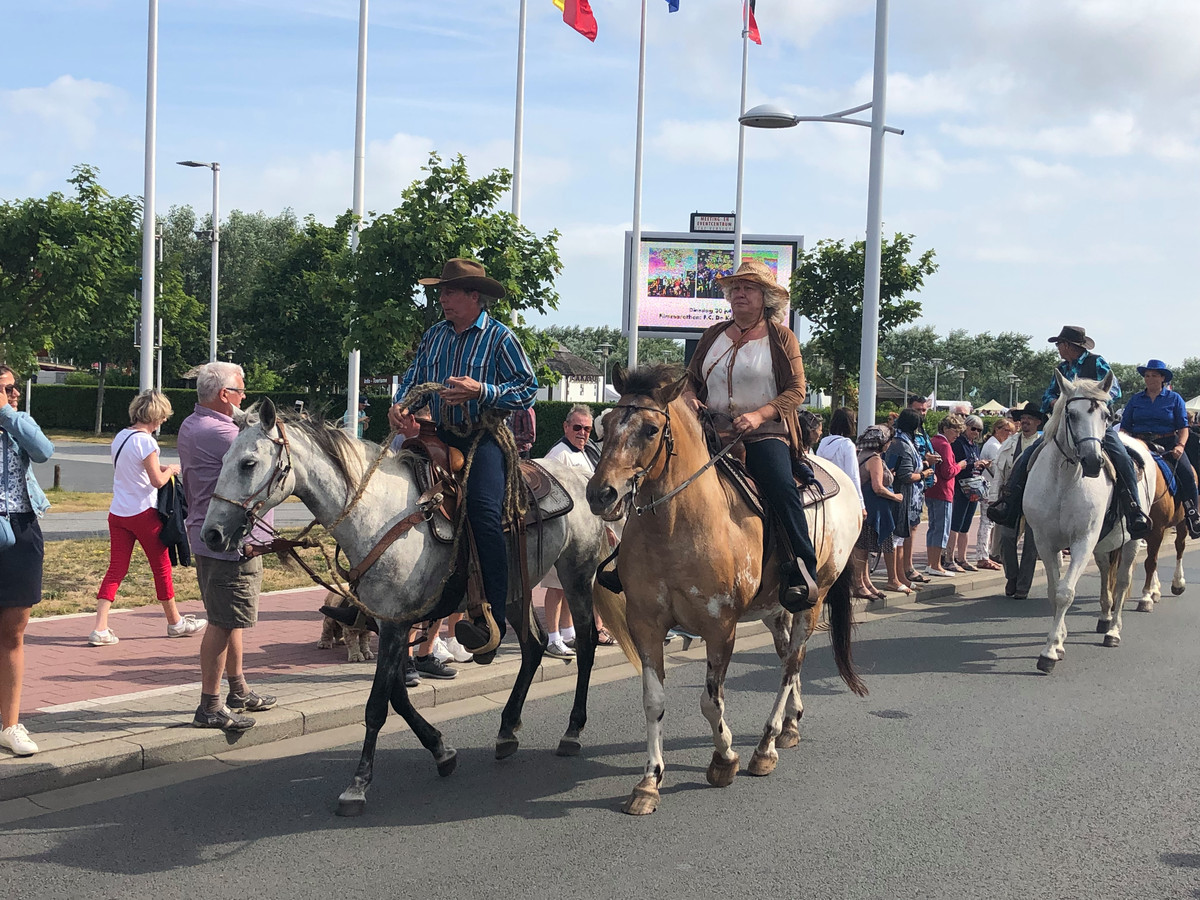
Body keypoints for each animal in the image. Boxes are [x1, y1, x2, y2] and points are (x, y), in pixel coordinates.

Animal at [204, 400, 638, 816]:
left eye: (248, 463)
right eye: (222, 460)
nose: (212, 534)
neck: (377, 515)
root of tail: (584, 478)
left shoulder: (395, 625)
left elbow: (378, 704)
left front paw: (357, 785)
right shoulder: (389, 621)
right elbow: (396, 693)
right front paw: (441, 750)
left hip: (576, 573)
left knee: (585, 645)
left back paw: (572, 731)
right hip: (516, 586)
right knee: (532, 647)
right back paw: (507, 729)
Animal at [580, 367, 864, 816]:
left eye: (650, 429)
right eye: (603, 424)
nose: (600, 493)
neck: (676, 524)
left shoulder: (720, 627)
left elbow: (710, 701)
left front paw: (723, 759)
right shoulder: (646, 624)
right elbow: (653, 700)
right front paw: (649, 782)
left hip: (813, 600)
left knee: (791, 664)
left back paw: (766, 745)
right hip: (775, 607)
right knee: (788, 656)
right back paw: (790, 724)